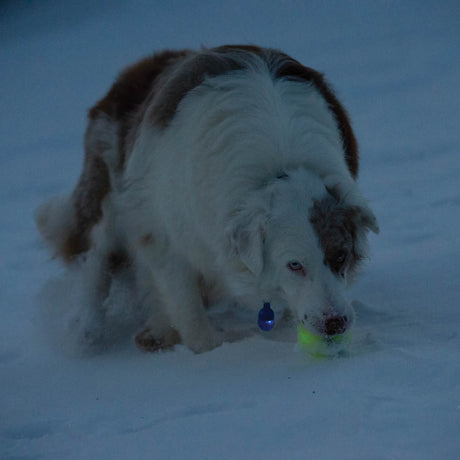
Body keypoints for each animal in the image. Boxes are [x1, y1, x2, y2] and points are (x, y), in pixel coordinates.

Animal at [35, 45, 379, 353]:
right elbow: (185, 305)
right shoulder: (160, 232)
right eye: (294, 264)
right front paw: (209, 355)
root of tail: (136, 69)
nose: (335, 323)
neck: (280, 170)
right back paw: (86, 328)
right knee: (96, 256)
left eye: (340, 256)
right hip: (109, 193)